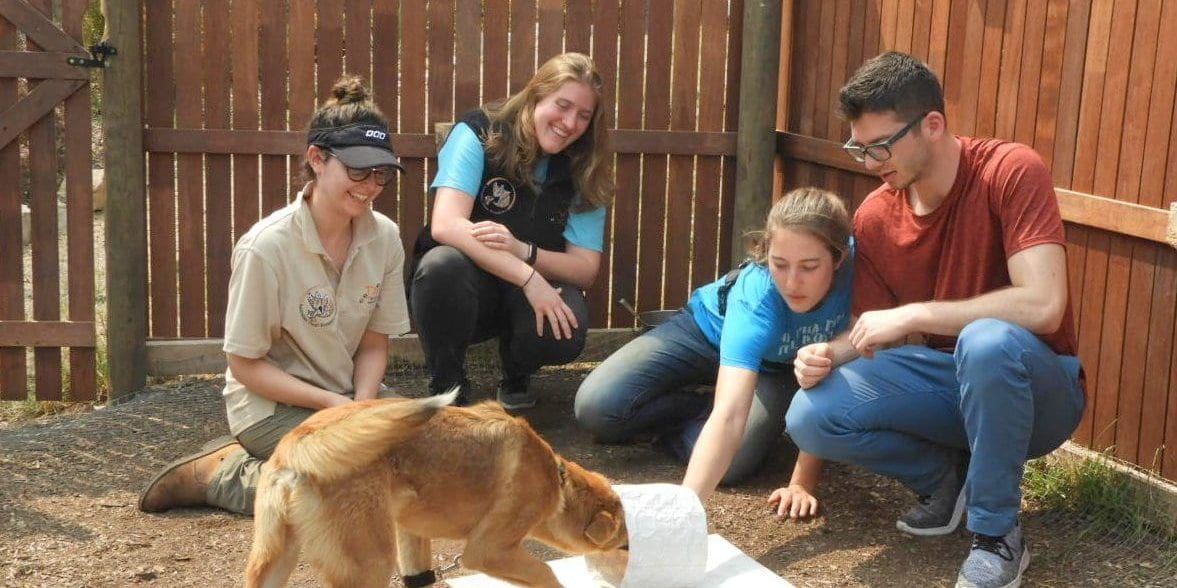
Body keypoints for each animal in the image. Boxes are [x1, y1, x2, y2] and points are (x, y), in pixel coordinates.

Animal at [238, 390, 626, 588]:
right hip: (370, 565)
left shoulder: (412, 534)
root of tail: (299, 443)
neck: (556, 480)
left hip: (273, 557)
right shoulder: (487, 551)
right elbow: (546, 573)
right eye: (623, 544)